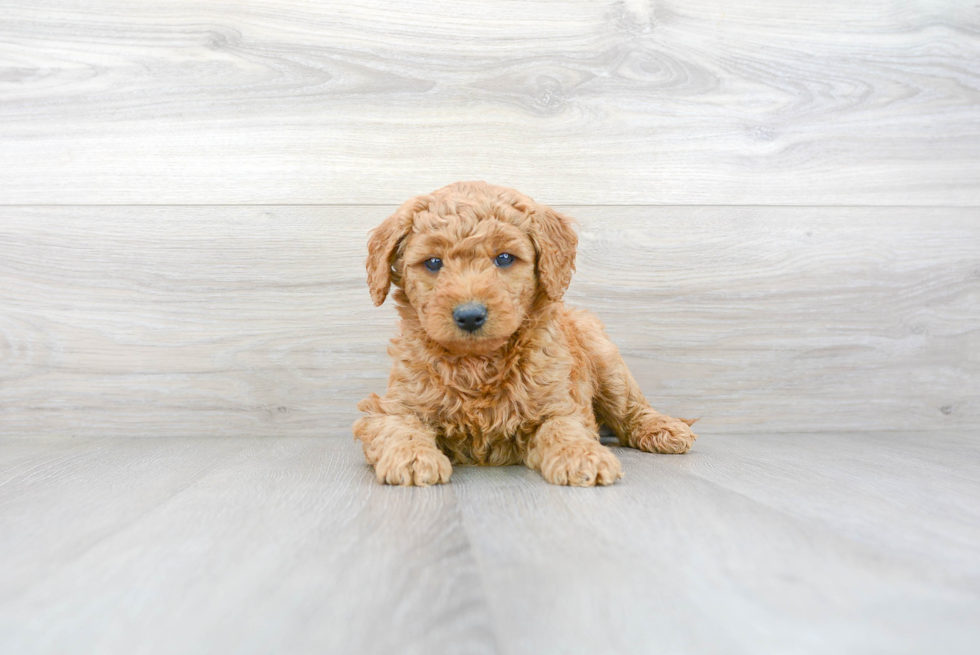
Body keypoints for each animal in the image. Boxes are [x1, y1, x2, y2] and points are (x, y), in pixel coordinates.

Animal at [352, 181, 696, 486]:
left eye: (504, 258)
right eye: (434, 262)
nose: (469, 315)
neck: (477, 363)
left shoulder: (559, 403)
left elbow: (563, 428)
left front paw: (582, 456)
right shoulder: (394, 406)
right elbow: (400, 428)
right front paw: (412, 458)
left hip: (606, 359)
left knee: (630, 407)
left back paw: (664, 429)